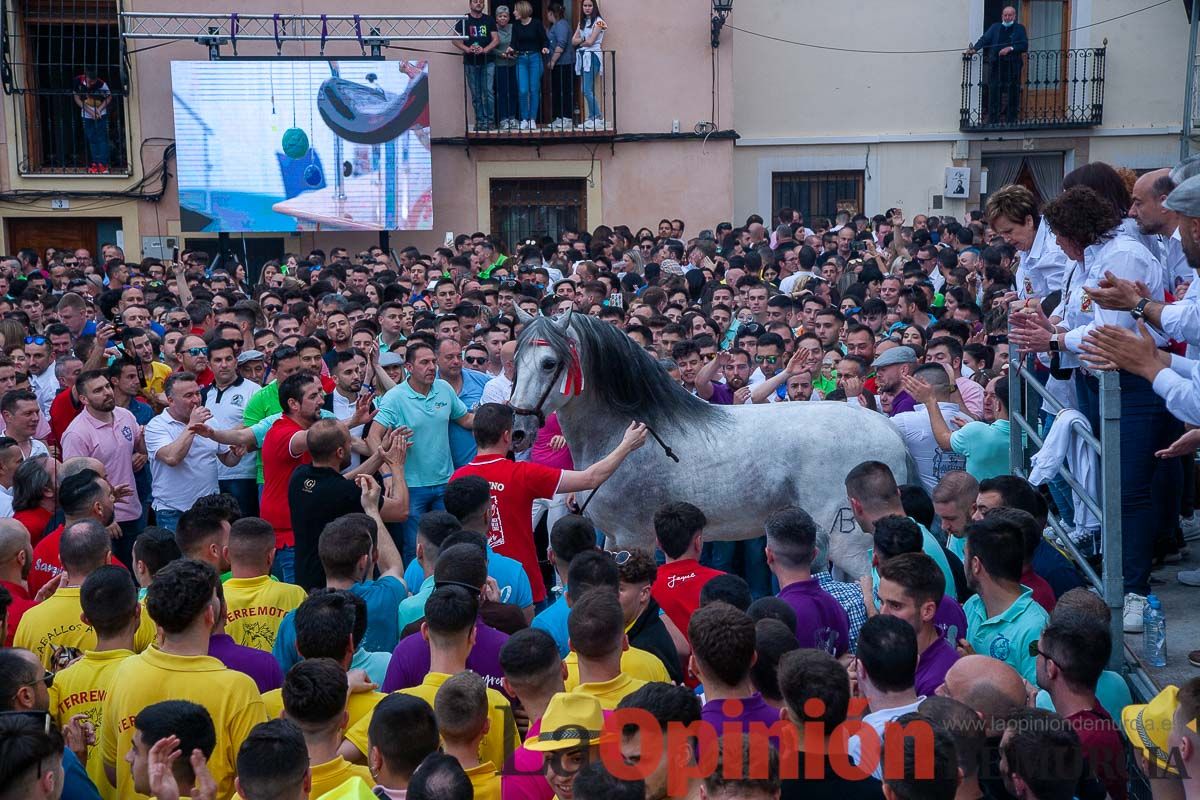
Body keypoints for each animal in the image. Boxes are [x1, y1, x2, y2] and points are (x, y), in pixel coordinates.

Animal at [506, 309, 907, 568]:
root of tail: (888, 428)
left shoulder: (635, 539)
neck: (626, 434)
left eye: (549, 363)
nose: (518, 430)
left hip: (849, 540)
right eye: (515, 361)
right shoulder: (615, 541)